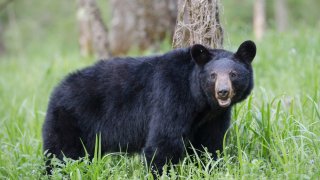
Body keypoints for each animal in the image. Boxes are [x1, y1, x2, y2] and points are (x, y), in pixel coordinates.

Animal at [43, 40, 258, 173]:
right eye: (213, 75)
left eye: (233, 74)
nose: (222, 92)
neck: (200, 101)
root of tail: (57, 89)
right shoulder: (171, 95)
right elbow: (164, 142)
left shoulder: (214, 116)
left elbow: (210, 143)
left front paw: (210, 167)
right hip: (71, 119)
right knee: (61, 154)